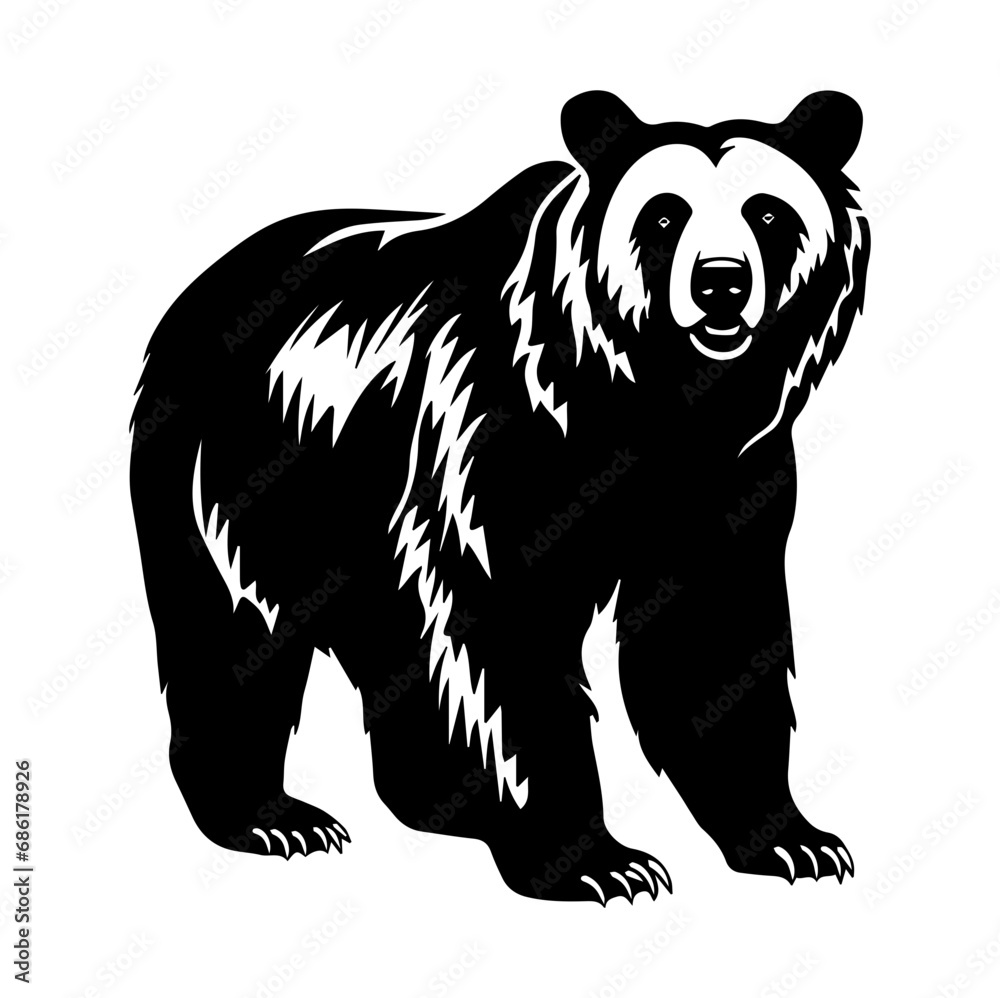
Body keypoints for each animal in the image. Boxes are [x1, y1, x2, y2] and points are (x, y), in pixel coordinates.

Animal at [130, 90, 870, 905]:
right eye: (663, 215)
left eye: (767, 211)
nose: (721, 283)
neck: (652, 397)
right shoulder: (495, 435)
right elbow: (503, 630)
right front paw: (595, 860)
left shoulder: (726, 474)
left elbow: (711, 632)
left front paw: (792, 840)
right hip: (241, 475)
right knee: (236, 629)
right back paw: (273, 817)